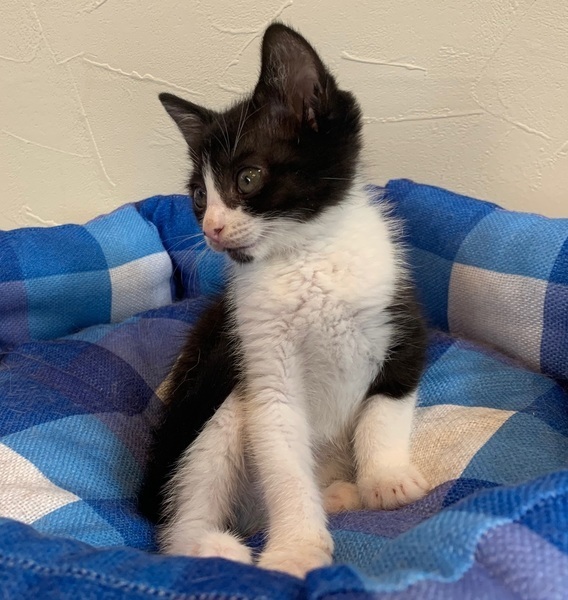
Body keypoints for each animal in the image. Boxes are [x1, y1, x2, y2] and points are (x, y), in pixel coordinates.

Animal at [139, 22, 429, 579]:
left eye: (248, 178)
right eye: (199, 198)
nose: (211, 229)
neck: (305, 257)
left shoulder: (401, 318)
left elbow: (386, 408)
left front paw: (386, 481)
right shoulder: (261, 359)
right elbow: (281, 451)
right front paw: (296, 548)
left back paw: (339, 492)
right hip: (214, 398)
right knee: (185, 504)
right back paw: (210, 546)